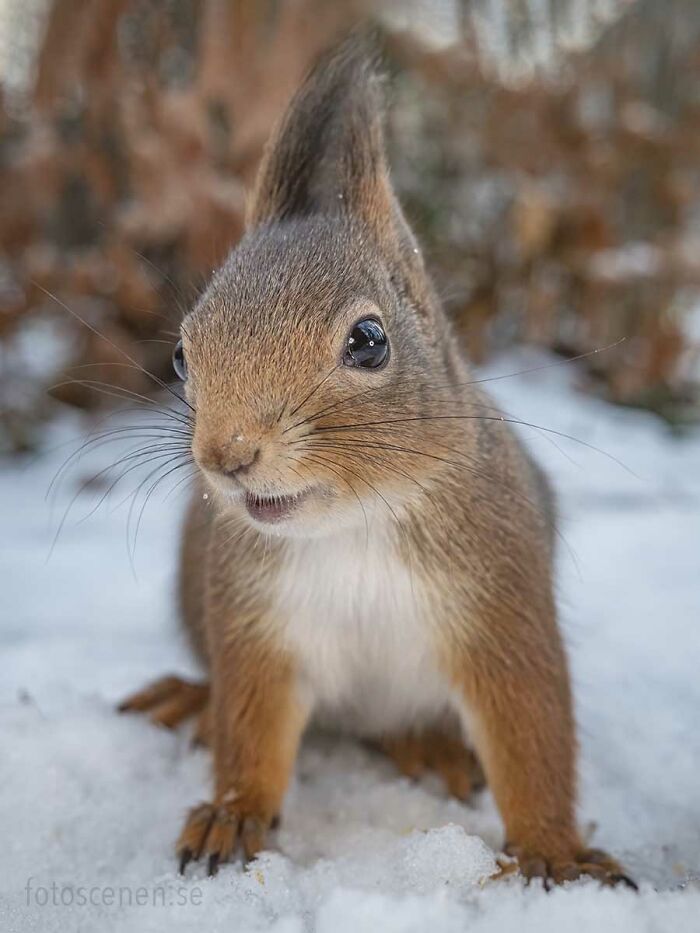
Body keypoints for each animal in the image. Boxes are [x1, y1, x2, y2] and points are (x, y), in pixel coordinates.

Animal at [119, 39, 634, 888]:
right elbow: (250, 725)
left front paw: (553, 851)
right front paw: (231, 813)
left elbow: (532, 728)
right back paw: (193, 698)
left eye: (368, 341)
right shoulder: (254, 621)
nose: (227, 454)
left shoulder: (499, 599)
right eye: (182, 353)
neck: (356, 523)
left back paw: (436, 747)